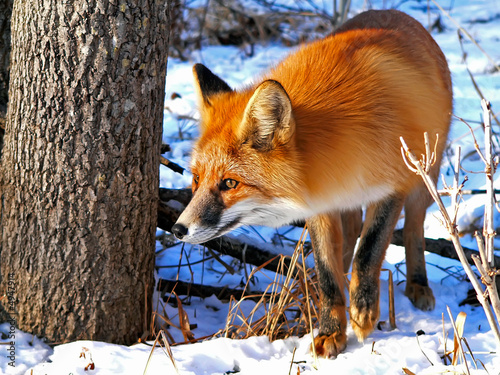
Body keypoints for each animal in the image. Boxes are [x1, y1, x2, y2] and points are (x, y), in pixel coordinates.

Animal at [173, 9, 454, 358]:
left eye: (229, 183)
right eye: (197, 179)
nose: (178, 229)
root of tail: (397, 13)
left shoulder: (392, 188)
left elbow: (369, 250)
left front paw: (363, 312)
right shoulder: (321, 201)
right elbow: (326, 272)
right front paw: (331, 330)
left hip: (424, 176)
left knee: (414, 226)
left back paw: (418, 283)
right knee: (348, 237)